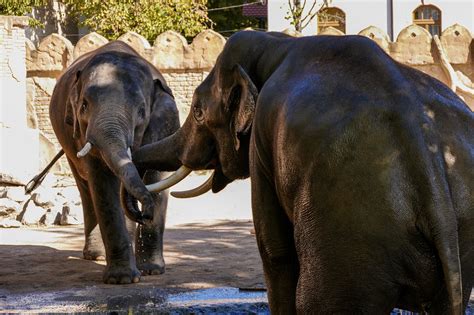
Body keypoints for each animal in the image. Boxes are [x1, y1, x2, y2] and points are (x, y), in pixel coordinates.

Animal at [49, 40, 180, 286]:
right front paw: (122, 280)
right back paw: (95, 256)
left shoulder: (163, 125)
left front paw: (152, 272)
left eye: (141, 112)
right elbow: (103, 184)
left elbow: (157, 177)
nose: (143, 214)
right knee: (85, 188)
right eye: (83, 106)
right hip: (69, 146)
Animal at [130, 30, 474, 314]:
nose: (141, 213)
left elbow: (276, 253)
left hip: (351, 231)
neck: (277, 44)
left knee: (317, 300)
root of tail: (425, 155)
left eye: (198, 112)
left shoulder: (262, 143)